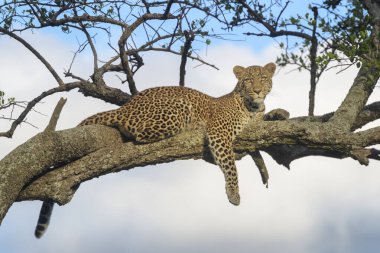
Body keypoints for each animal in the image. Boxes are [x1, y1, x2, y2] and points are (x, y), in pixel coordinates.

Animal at [35, 62, 276, 238]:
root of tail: (127, 106)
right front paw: (233, 193)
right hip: (177, 108)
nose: (257, 90)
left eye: (263, 78)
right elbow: (230, 165)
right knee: (139, 133)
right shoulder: (218, 133)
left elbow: (253, 150)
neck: (252, 108)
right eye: (248, 80)